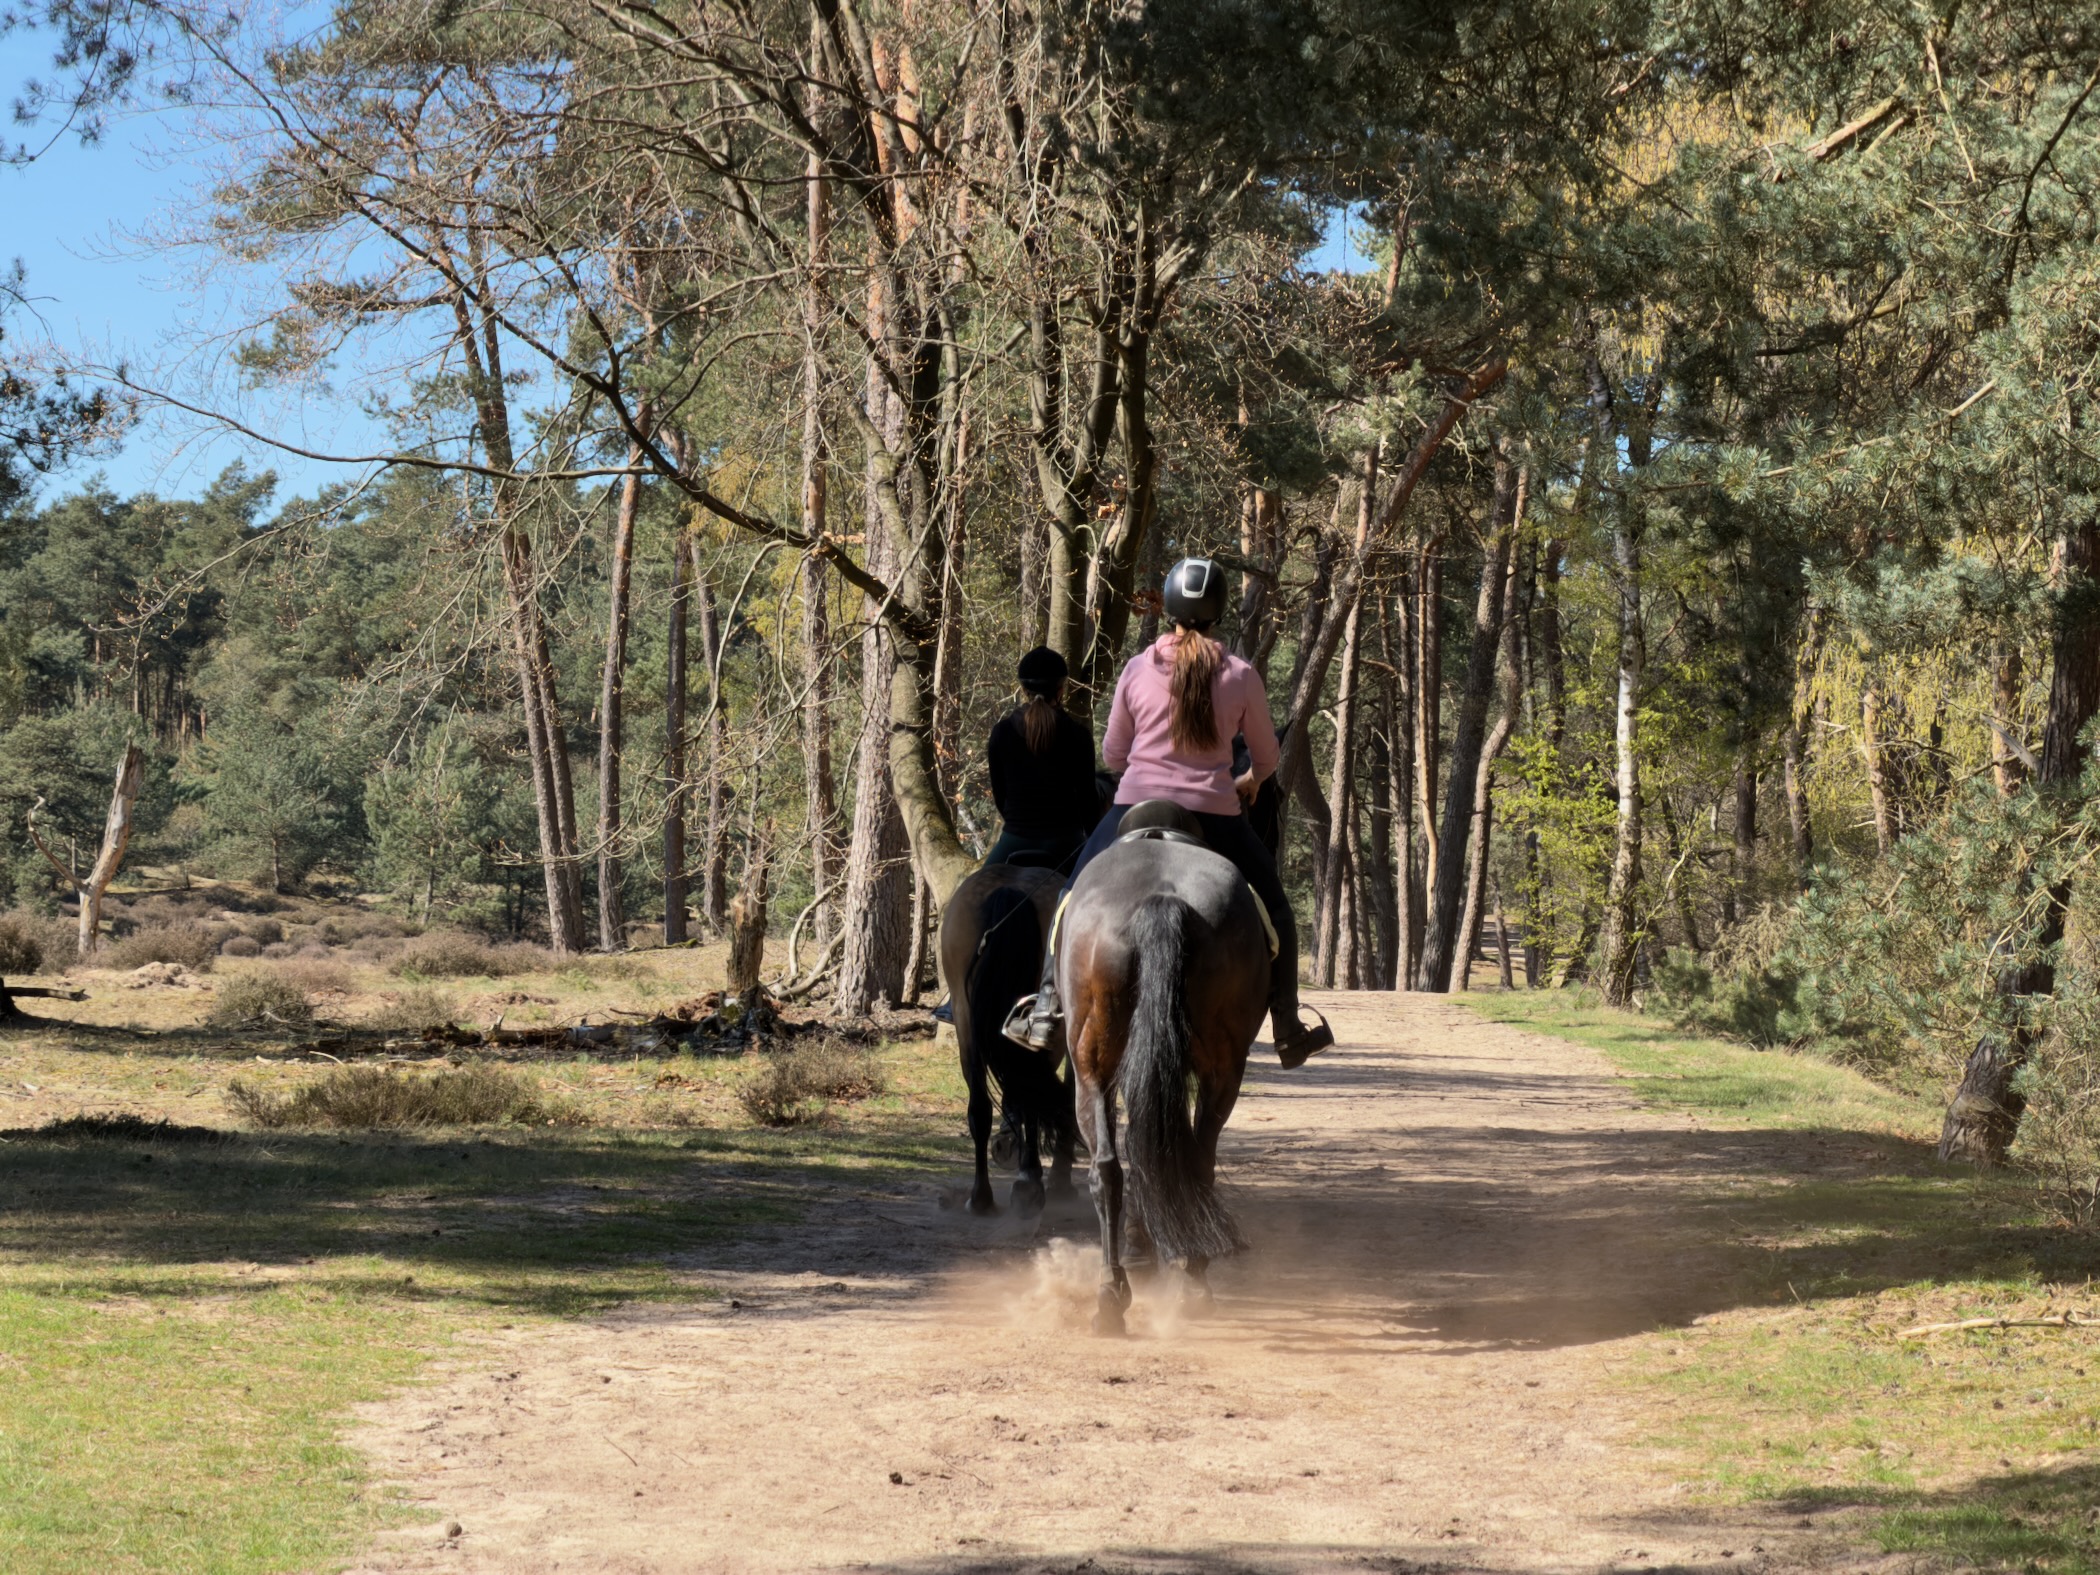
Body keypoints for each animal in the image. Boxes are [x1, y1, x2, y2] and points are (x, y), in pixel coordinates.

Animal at [939, 861, 1081, 1217]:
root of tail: (1013, 888)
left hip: (966, 1023)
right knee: (1030, 1094)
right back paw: (1028, 1184)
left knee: (980, 1106)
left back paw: (981, 1197)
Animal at [1058, 800, 1272, 1334]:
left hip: (1093, 1066)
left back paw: (1116, 1291)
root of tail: (1160, 899)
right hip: (1221, 1068)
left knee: (1112, 1170)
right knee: (1186, 1163)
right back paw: (1182, 1281)